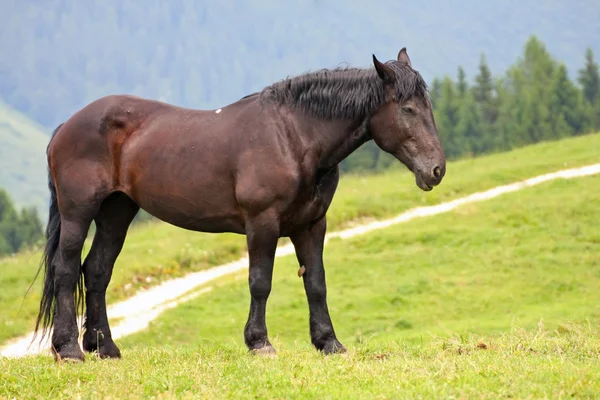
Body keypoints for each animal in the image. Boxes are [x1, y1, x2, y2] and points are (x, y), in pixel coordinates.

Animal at [32, 47, 446, 362]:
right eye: (407, 109)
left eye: (428, 106)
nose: (436, 169)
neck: (292, 137)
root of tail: (67, 126)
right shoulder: (262, 224)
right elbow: (260, 282)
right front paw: (259, 343)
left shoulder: (312, 225)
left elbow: (316, 283)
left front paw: (329, 343)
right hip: (79, 212)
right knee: (66, 269)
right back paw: (69, 349)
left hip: (117, 212)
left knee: (97, 271)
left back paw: (106, 348)